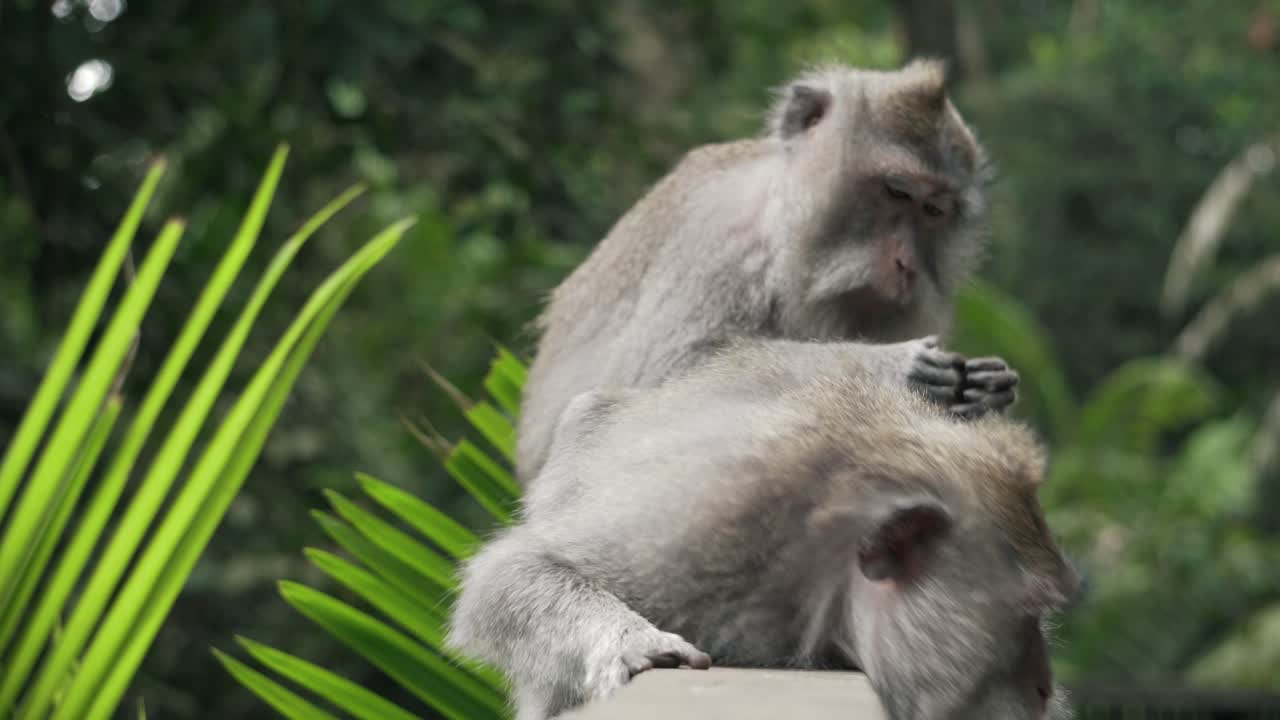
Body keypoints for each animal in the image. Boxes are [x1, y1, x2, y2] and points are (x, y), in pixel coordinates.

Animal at [516, 60, 1019, 484]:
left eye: (934, 211)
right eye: (897, 191)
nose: (905, 264)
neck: (781, 231)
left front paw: (989, 388)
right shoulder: (716, 237)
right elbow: (666, 376)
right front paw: (891, 365)